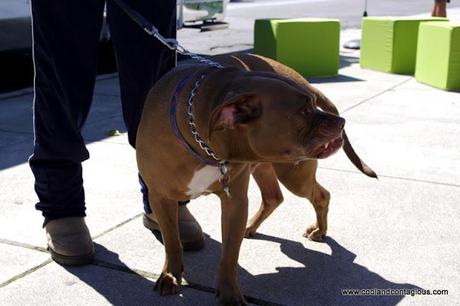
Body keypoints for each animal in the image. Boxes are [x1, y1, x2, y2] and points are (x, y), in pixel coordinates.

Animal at [135, 53, 376, 304]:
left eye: (312, 105)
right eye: (303, 111)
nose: (341, 122)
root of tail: (297, 75)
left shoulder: (235, 202)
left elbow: (229, 255)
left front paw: (229, 295)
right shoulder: (161, 198)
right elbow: (172, 241)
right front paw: (171, 275)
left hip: (294, 175)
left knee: (320, 195)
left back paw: (319, 230)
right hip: (266, 167)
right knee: (274, 197)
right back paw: (251, 226)